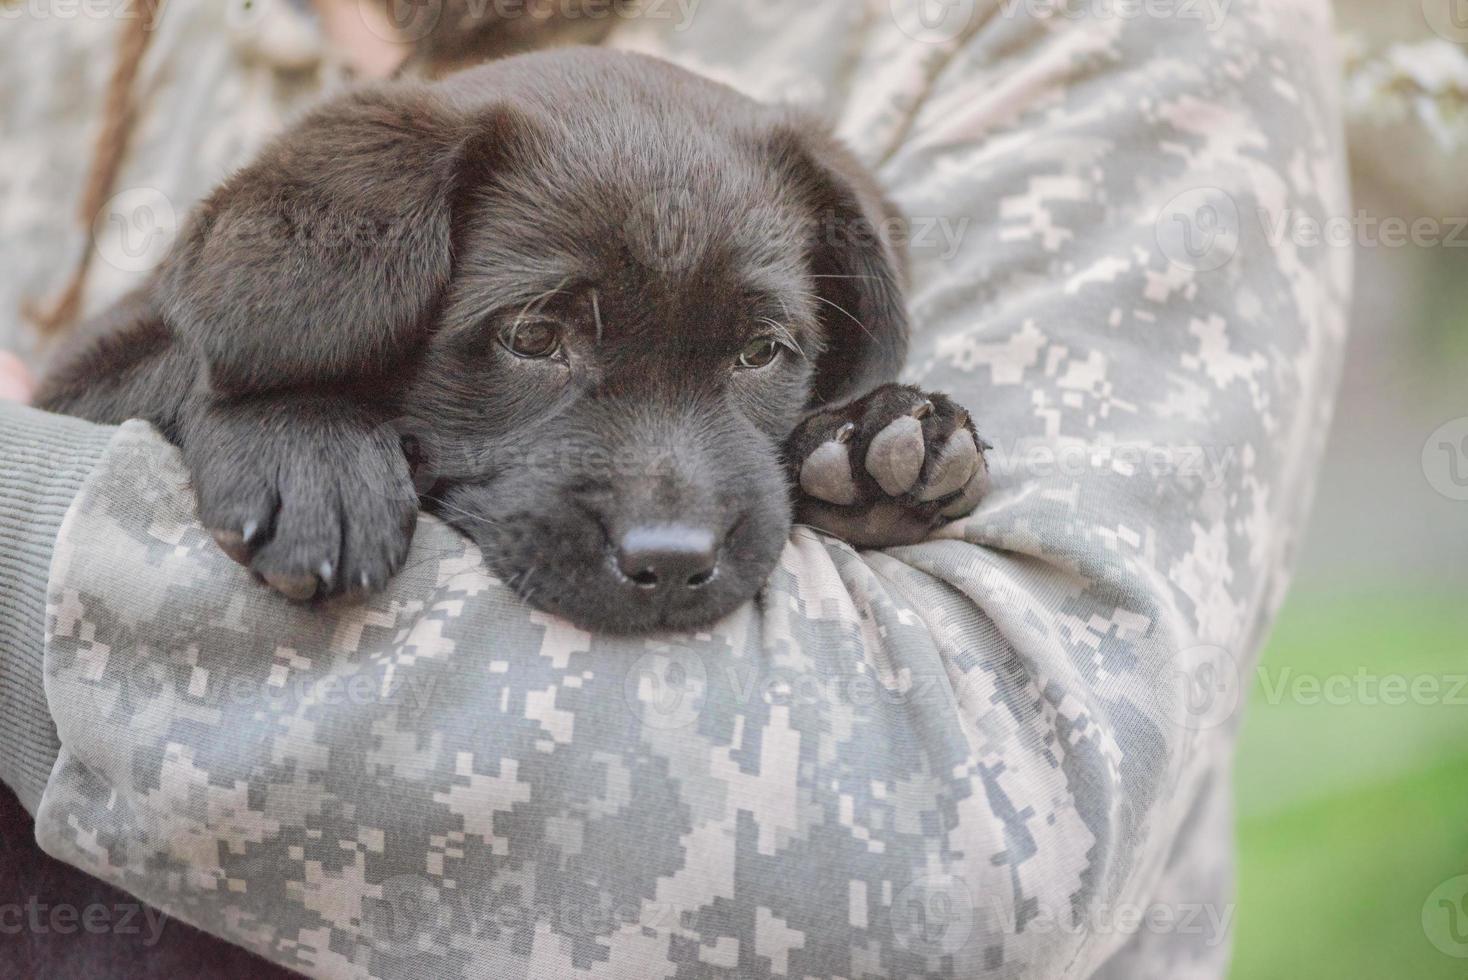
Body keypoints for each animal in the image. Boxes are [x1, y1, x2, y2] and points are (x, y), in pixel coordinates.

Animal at [37, 49, 986, 636]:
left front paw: (871, 446)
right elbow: (192, 364)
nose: (672, 563)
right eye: (532, 337)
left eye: (760, 352)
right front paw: (305, 441)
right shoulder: (81, 372)